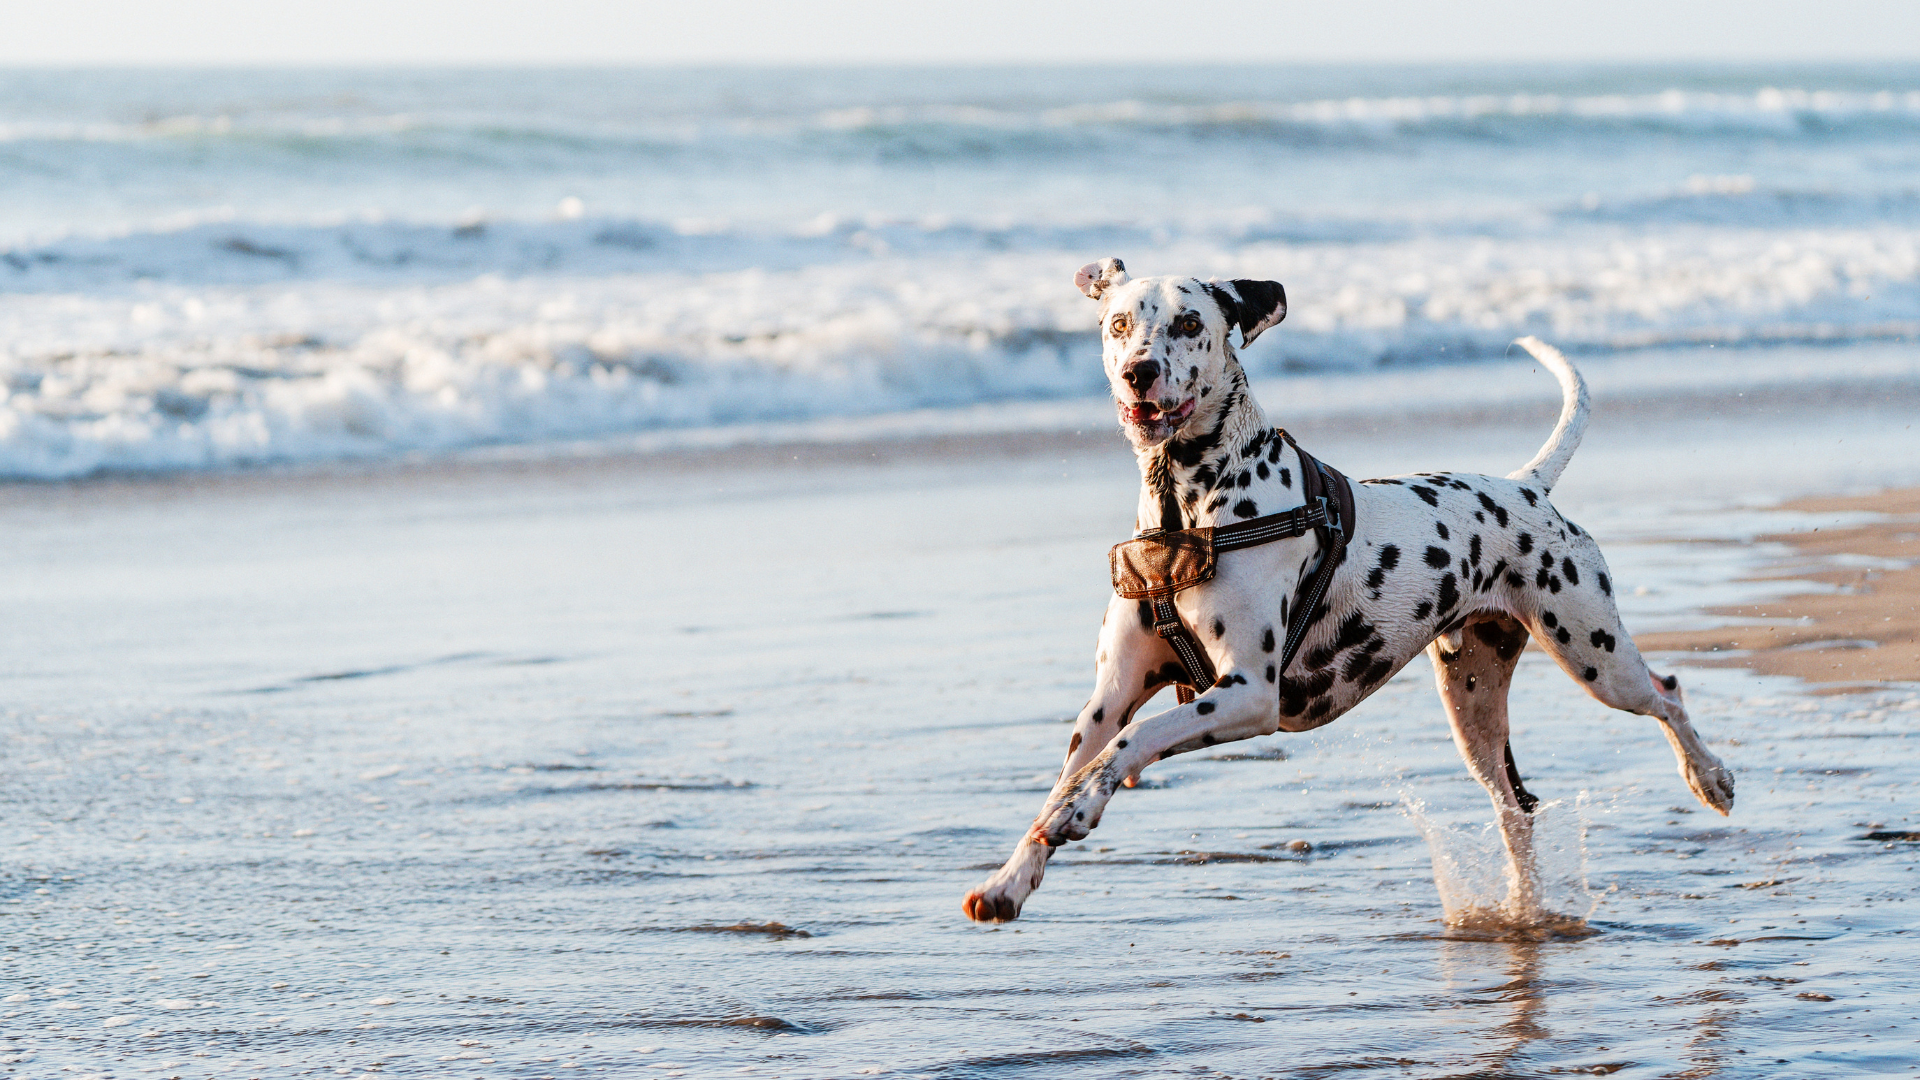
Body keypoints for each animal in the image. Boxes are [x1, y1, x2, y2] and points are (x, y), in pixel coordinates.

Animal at [960, 255, 1743, 922]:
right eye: (1119, 323)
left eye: (1187, 324)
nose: (1139, 372)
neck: (1188, 507)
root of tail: (1526, 485)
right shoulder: (1108, 696)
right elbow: (1081, 762)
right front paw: (1012, 878)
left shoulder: (1248, 694)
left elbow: (1136, 738)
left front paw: (1079, 811)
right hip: (1475, 706)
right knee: (1515, 805)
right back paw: (1523, 908)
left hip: (1595, 655)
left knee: (1668, 693)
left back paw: (1709, 778)